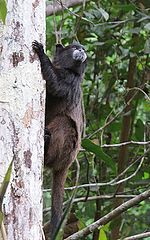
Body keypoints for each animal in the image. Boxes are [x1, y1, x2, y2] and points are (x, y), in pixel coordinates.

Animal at [32, 40, 86, 237]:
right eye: (75, 48)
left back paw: (46, 142)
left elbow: (55, 85)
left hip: (66, 149)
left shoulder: (70, 80)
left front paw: (42, 53)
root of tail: (65, 165)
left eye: (83, 49)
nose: (82, 51)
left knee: (64, 122)